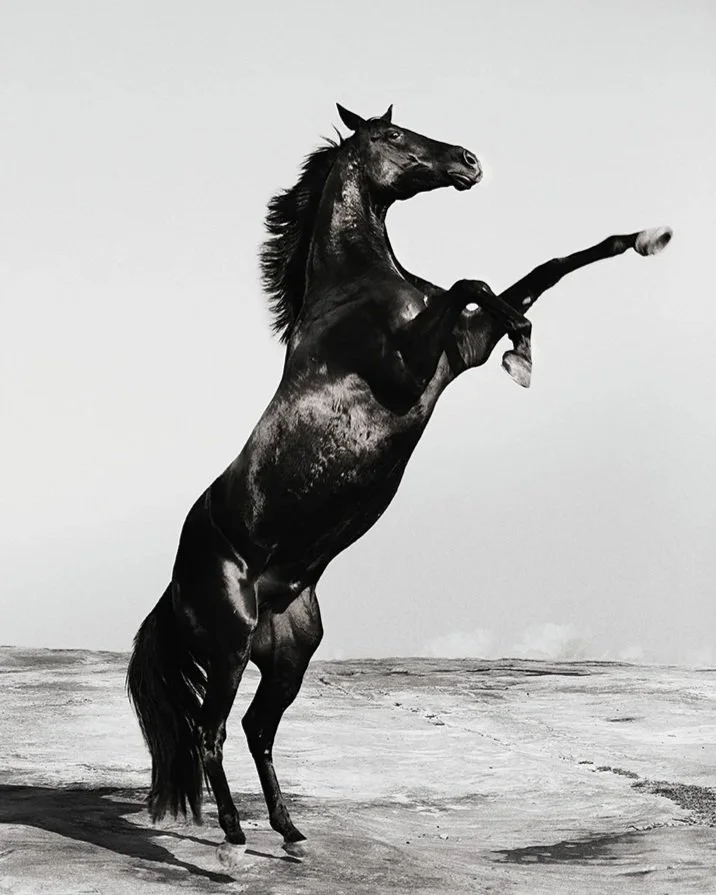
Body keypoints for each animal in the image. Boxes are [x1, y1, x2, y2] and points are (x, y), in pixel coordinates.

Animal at [127, 103, 671, 859]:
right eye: (393, 136)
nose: (469, 161)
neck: (355, 291)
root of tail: (175, 587)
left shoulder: (458, 352)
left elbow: (538, 270)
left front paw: (642, 240)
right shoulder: (414, 366)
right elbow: (477, 286)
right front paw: (524, 344)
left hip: (289, 655)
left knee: (258, 730)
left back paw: (289, 830)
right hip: (230, 651)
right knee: (210, 733)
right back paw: (235, 836)